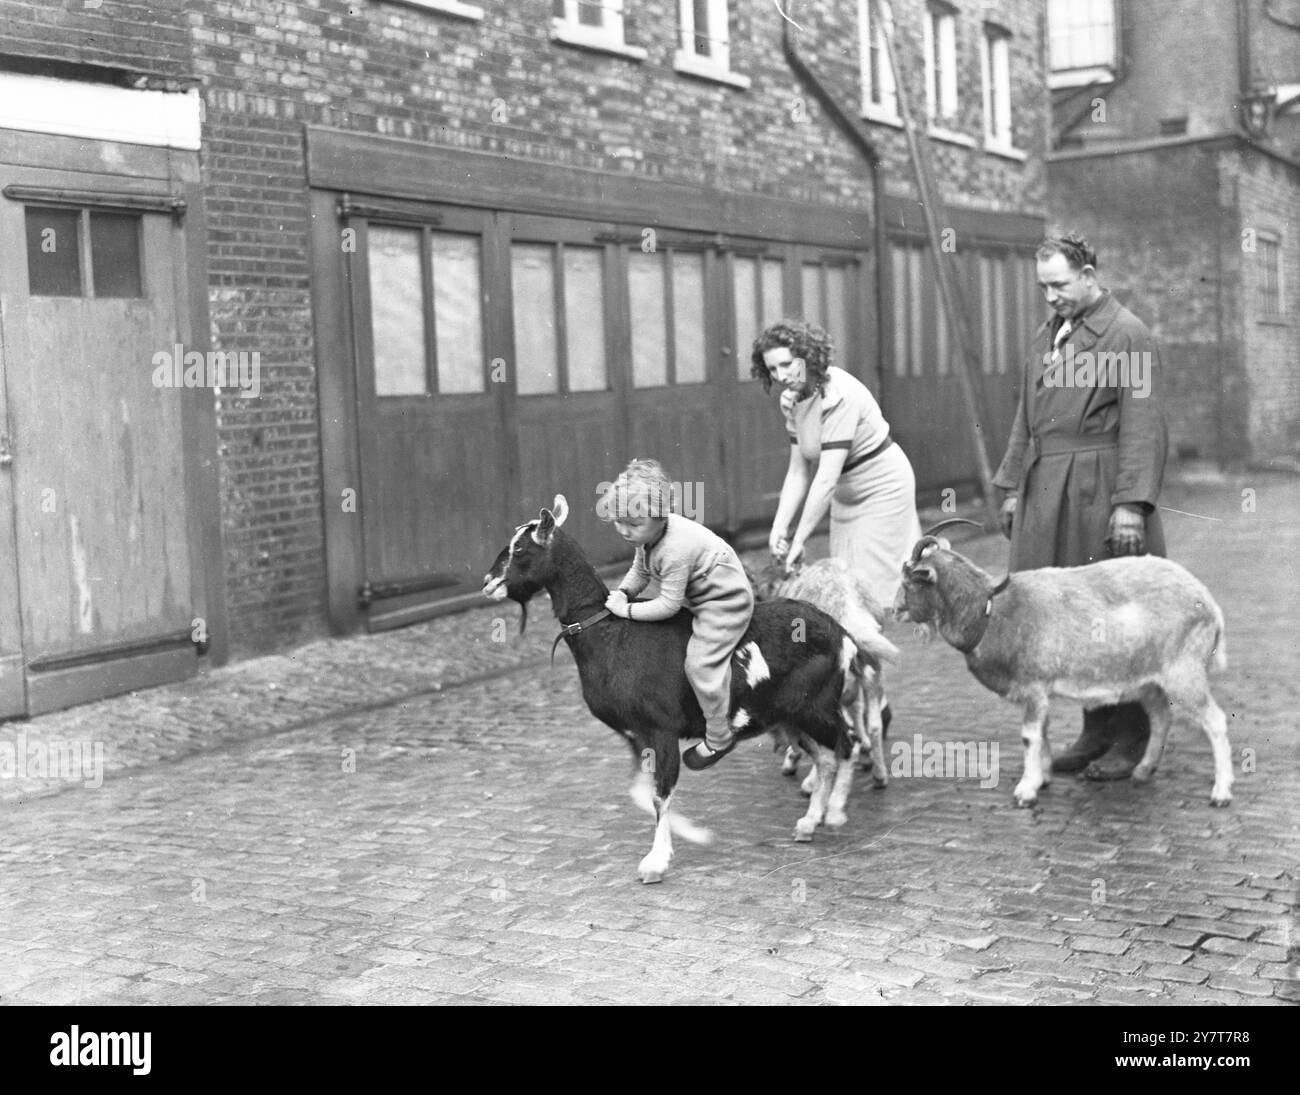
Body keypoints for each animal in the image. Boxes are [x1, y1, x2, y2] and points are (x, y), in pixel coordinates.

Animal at [894, 533, 1227, 806]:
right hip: (1148, 679)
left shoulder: (1033, 687)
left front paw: (1025, 791)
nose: (894, 610)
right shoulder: (1039, 693)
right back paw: (1143, 770)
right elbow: (1042, 732)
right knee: (1160, 716)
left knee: (1215, 721)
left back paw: (1221, 793)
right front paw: (1043, 778)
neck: (991, 612)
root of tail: (1210, 602)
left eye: (909, 582)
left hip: (1183, 671)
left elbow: (1029, 736)